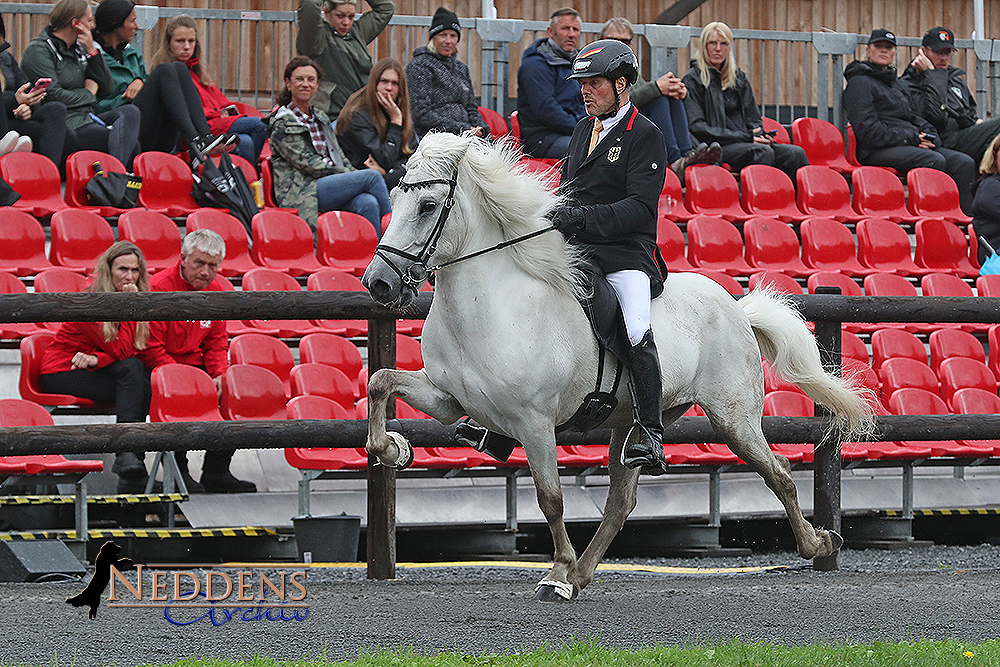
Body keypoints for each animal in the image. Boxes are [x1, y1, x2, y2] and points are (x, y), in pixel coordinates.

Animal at [362, 133, 876, 604]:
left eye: (428, 205)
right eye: (395, 199)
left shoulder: (534, 422)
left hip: (734, 419)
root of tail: (735, 306)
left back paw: (819, 544)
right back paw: (582, 574)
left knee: (779, 473)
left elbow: (551, 498)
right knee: (620, 502)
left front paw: (555, 573)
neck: (490, 302)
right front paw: (394, 449)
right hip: (634, 424)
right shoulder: (449, 399)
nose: (378, 283)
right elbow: (380, 381)